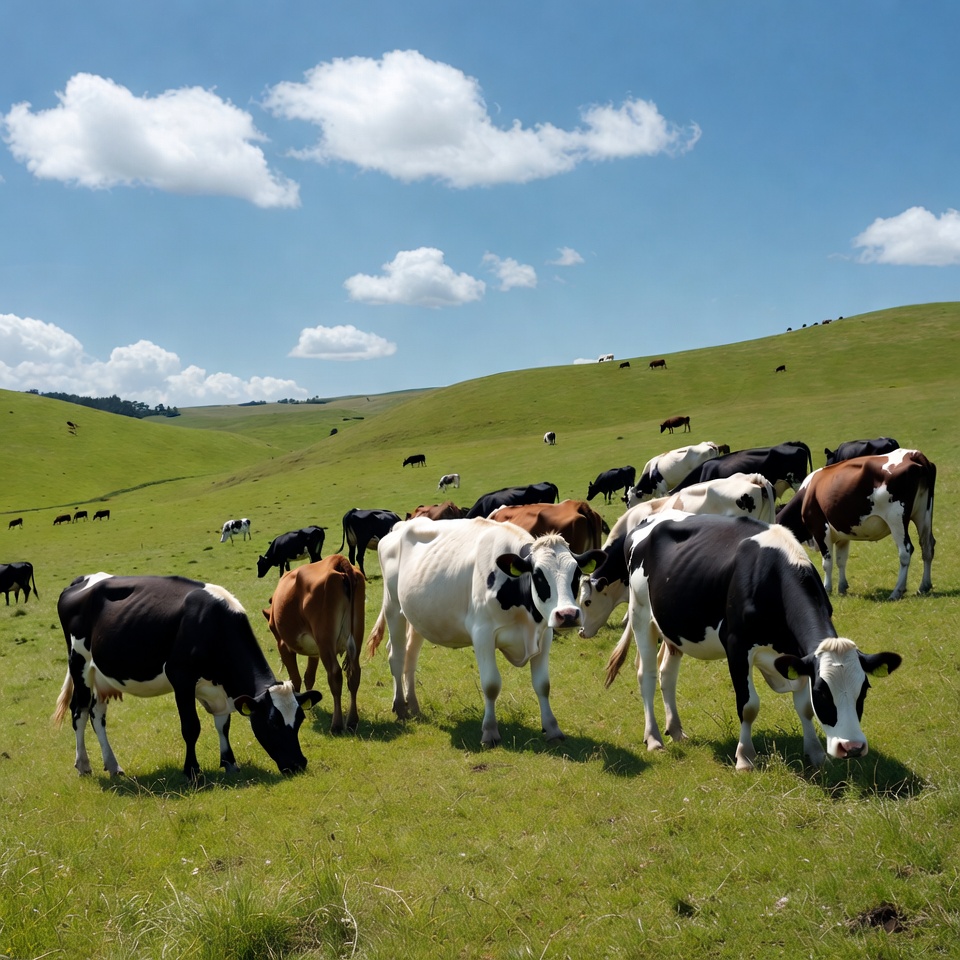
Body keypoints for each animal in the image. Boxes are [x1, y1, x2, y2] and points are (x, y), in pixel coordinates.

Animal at [53, 573, 321, 778]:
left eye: (299, 720)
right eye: (273, 722)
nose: (298, 764)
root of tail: (82, 580)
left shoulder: (219, 690)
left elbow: (223, 725)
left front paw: (229, 762)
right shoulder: (181, 678)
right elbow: (191, 727)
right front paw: (192, 770)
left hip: (102, 675)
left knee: (97, 715)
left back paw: (113, 765)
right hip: (79, 663)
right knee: (79, 711)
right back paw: (84, 765)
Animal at [262, 555, 365, 733]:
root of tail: (337, 561)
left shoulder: (283, 645)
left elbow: (295, 679)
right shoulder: (315, 652)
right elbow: (309, 676)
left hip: (325, 640)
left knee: (335, 674)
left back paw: (336, 724)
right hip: (355, 637)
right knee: (354, 674)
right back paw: (352, 721)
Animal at [366, 518, 601, 747]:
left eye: (577, 574)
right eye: (538, 575)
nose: (568, 614)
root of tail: (402, 525)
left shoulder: (544, 635)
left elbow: (543, 684)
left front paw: (552, 729)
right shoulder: (482, 634)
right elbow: (491, 684)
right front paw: (490, 732)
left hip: (417, 617)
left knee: (410, 657)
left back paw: (413, 706)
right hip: (393, 606)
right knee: (396, 656)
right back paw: (400, 706)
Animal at [604, 512, 901, 770]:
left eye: (864, 690)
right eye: (822, 691)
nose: (851, 747)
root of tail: (649, 518)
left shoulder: (797, 656)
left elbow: (804, 708)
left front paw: (815, 753)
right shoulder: (737, 646)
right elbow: (748, 706)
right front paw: (745, 757)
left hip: (673, 628)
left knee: (667, 674)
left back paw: (676, 730)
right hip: (641, 613)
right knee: (647, 675)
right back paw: (654, 738)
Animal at [776, 449, 935, 600]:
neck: (808, 493)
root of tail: (912, 454)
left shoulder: (820, 530)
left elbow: (827, 562)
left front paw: (827, 588)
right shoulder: (842, 534)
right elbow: (841, 560)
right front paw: (842, 587)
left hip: (896, 519)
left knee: (905, 551)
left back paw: (897, 591)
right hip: (923, 515)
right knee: (927, 546)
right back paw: (924, 586)